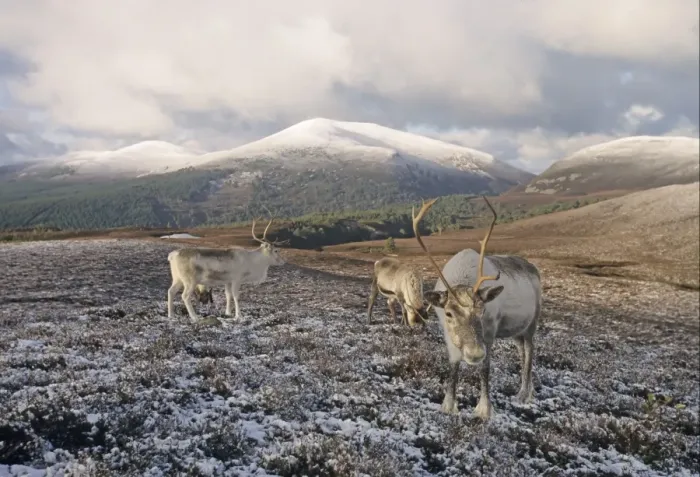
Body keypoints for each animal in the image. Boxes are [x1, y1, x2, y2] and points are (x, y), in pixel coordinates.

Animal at [413, 196, 542, 420]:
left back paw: (524, 394)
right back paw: (529, 390)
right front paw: (448, 405)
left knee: (530, 350)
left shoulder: (488, 334)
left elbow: (485, 369)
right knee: (522, 351)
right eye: (448, 313)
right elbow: (453, 366)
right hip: (516, 330)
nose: (474, 354)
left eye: (482, 311)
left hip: (531, 324)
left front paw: (484, 409)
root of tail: (534, 269)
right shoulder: (448, 334)